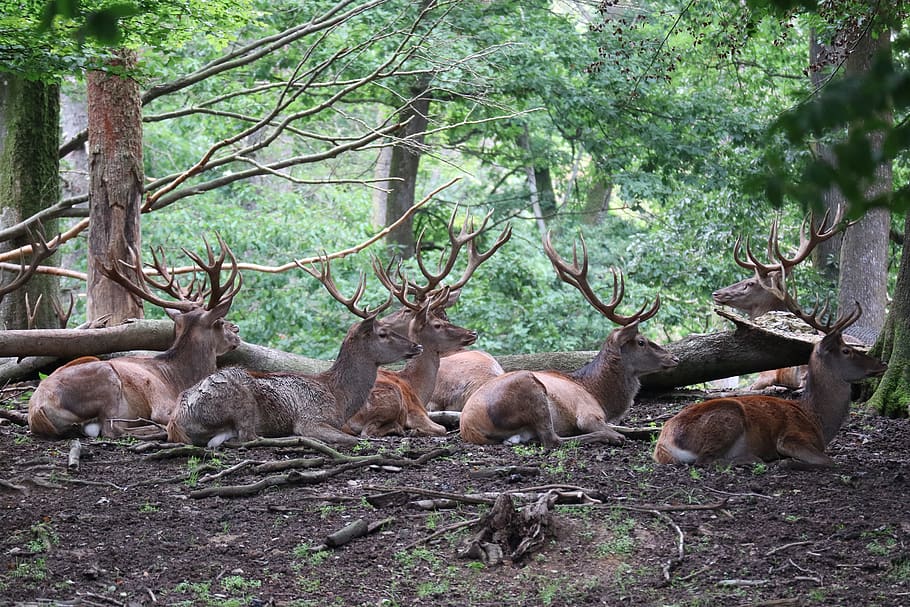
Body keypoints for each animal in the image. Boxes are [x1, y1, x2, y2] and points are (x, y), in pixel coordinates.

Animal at [27, 235, 242, 439]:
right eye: (220, 321)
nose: (237, 331)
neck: (180, 378)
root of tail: (36, 409)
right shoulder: (163, 405)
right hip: (107, 378)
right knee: (113, 428)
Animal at [166, 255, 423, 448]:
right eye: (383, 333)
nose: (416, 346)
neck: (339, 399)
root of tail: (176, 420)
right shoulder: (311, 418)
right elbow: (353, 439)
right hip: (241, 403)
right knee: (247, 437)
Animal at [342, 286, 478, 437]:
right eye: (437, 325)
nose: (473, 333)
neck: (416, 387)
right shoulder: (416, 411)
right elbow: (441, 428)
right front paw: (416, 430)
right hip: (392, 397)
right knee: (367, 431)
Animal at [458, 232, 678, 448]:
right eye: (641, 341)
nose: (674, 358)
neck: (599, 396)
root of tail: (469, 427)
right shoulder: (588, 413)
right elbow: (613, 431)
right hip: (529, 387)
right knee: (552, 440)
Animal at [654, 277, 887, 469]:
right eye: (847, 351)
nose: (882, 362)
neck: (818, 421)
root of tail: (663, 445)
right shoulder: (791, 437)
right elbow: (830, 461)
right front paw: (787, 463)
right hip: (728, 416)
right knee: (706, 460)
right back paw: (754, 459)